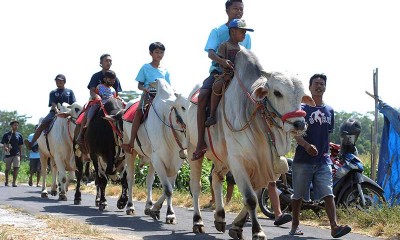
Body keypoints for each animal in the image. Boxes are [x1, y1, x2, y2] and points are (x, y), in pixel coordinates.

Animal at [122, 79, 187, 223]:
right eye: (183, 107)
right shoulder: (158, 160)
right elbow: (168, 189)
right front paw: (169, 213)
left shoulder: (175, 163)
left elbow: (170, 187)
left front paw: (156, 210)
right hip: (131, 151)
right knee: (130, 178)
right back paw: (130, 206)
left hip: (151, 160)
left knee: (149, 179)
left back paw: (148, 206)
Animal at [185, 49, 316, 239]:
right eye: (277, 92)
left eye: (301, 95)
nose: (299, 124)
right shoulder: (238, 161)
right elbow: (250, 199)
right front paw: (257, 231)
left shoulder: (265, 166)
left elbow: (254, 194)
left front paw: (236, 226)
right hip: (193, 150)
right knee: (196, 186)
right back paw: (198, 221)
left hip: (222, 157)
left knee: (216, 178)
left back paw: (220, 217)